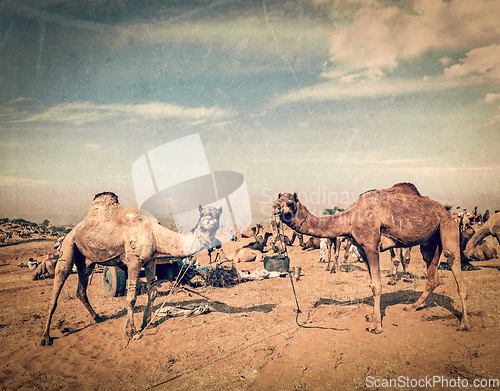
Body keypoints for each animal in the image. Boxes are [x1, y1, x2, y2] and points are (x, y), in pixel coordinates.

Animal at [39, 192, 219, 346]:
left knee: (81, 289)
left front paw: (146, 323)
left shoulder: (151, 260)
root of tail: (74, 229)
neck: (154, 233)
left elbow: (153, 292)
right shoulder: (134, 261)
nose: (211, 221)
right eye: (204, 214)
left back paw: (97, 317)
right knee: (60, 281)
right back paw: (45, 337)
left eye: (217, 214)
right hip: (68, 245)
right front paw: (129, 332)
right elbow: (131, 298)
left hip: (87, 260)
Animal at [272, 183, 470, 334]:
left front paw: (376, 326)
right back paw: (412, 307)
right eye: (277, 200)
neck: (350, 218)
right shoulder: (361, 248)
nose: (275, 207)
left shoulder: (371, 245)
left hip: (448, 227)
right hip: (430, 241)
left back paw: (464, 324)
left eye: (289, 201)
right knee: (432, 275)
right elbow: (371, 283)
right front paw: (372, 316)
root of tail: (447, 213)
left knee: (454, 264)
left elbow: (376, 286)